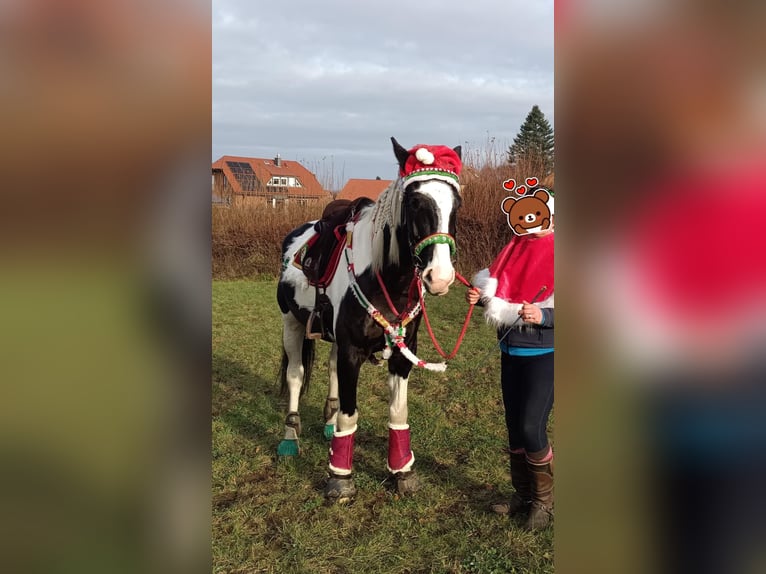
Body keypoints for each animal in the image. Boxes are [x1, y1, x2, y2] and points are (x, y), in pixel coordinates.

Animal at [276, 137, 463, 501]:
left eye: (456, 204)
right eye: (415, 202)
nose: (440, 277)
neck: (385, 279)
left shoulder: (403, 353)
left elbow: (398, 411)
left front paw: (402, 471)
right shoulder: (352, 351)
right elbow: (351, 415)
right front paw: (340, 478)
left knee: (330, 370)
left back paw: (328, 425)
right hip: (292, 324)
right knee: (295, 375)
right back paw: (290, 438)